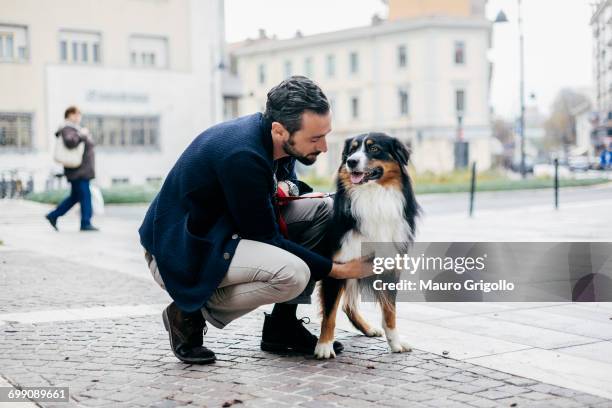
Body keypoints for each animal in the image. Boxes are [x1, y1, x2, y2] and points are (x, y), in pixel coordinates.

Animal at [314, 133, 418, 356]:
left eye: (374, 148)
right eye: (352, 150)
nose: (351, 162)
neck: (373, 196)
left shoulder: (389, 265)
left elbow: (390, 311)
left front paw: (395, 343)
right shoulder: (338, 266)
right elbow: (329, 314)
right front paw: (324, 346)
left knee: (349, 305)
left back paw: (368, 328)